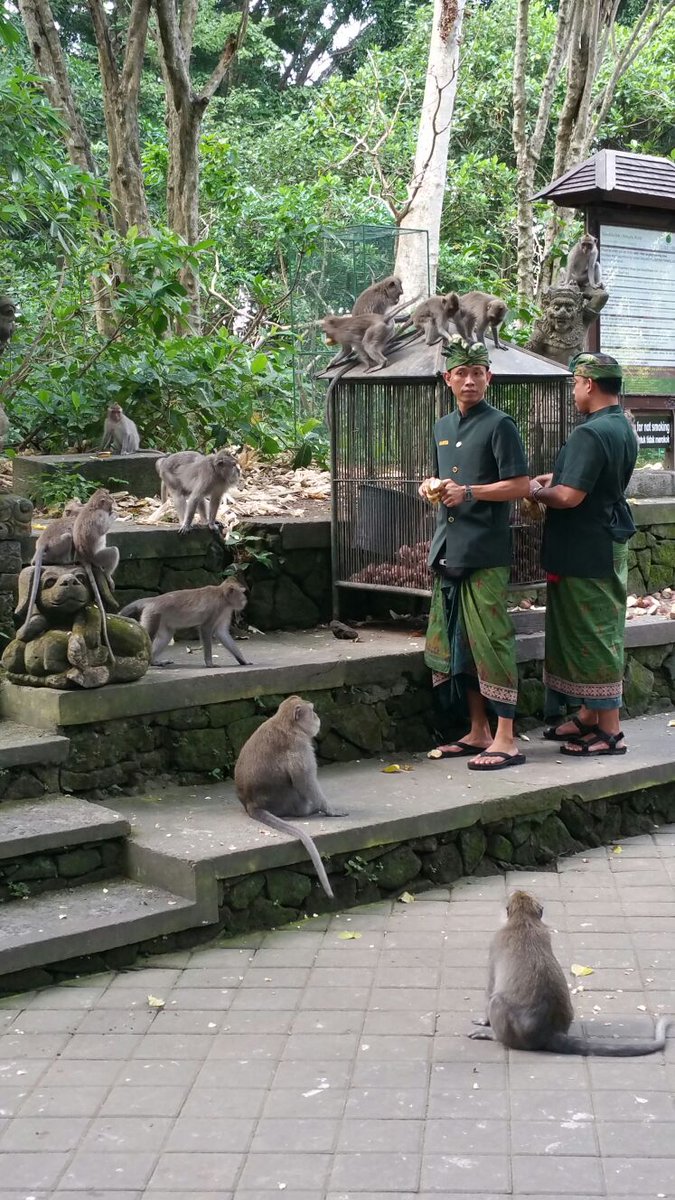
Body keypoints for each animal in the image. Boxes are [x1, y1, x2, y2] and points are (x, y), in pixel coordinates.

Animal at [72, 489, 120, 661]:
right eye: (110, 500)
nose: (113, 504)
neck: (92, 506)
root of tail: (86, 557)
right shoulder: (100, 516)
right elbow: (103, 529)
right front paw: (115, 514)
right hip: (99, 556)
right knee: (113, 552)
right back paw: (108, 576)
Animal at [120, 578, 249, 667]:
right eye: (242, 592)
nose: (245, 599)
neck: (223, 597)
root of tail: (153, 600)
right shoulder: (216, 608)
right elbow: (205, 629)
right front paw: (209, 663)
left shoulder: (226, 612)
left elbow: (222, 633)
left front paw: (243, 660)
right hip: (153, 615)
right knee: (148, 634)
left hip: (161, 619)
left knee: (165, 636)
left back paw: (154, 662)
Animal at [234, 695, 347, 898]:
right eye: (312, 710)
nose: (317, 717)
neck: (286, 723)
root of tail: (250, 803)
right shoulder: (300, 747)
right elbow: (305, 781)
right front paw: (330, 810)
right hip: (294, 803)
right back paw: (312, 809)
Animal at [469, 891, 670, 1056]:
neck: (524, 920)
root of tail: (550, 1033)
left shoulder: (494, 945)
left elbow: (490, 989)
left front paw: (484, 1021)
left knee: (496, 1001)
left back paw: (494, 1035)